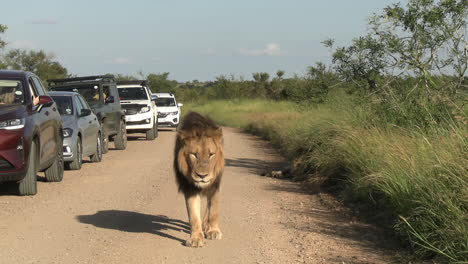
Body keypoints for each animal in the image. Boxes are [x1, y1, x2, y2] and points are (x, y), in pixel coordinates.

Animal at [174, 112, 225, 248]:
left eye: (211, 154)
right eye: (194, 154)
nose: (202, 176)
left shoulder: (215, 186)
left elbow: (214, 210)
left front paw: (213, 231)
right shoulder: (190, 188)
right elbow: (193, 215)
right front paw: (196, 238)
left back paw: (207, 226)